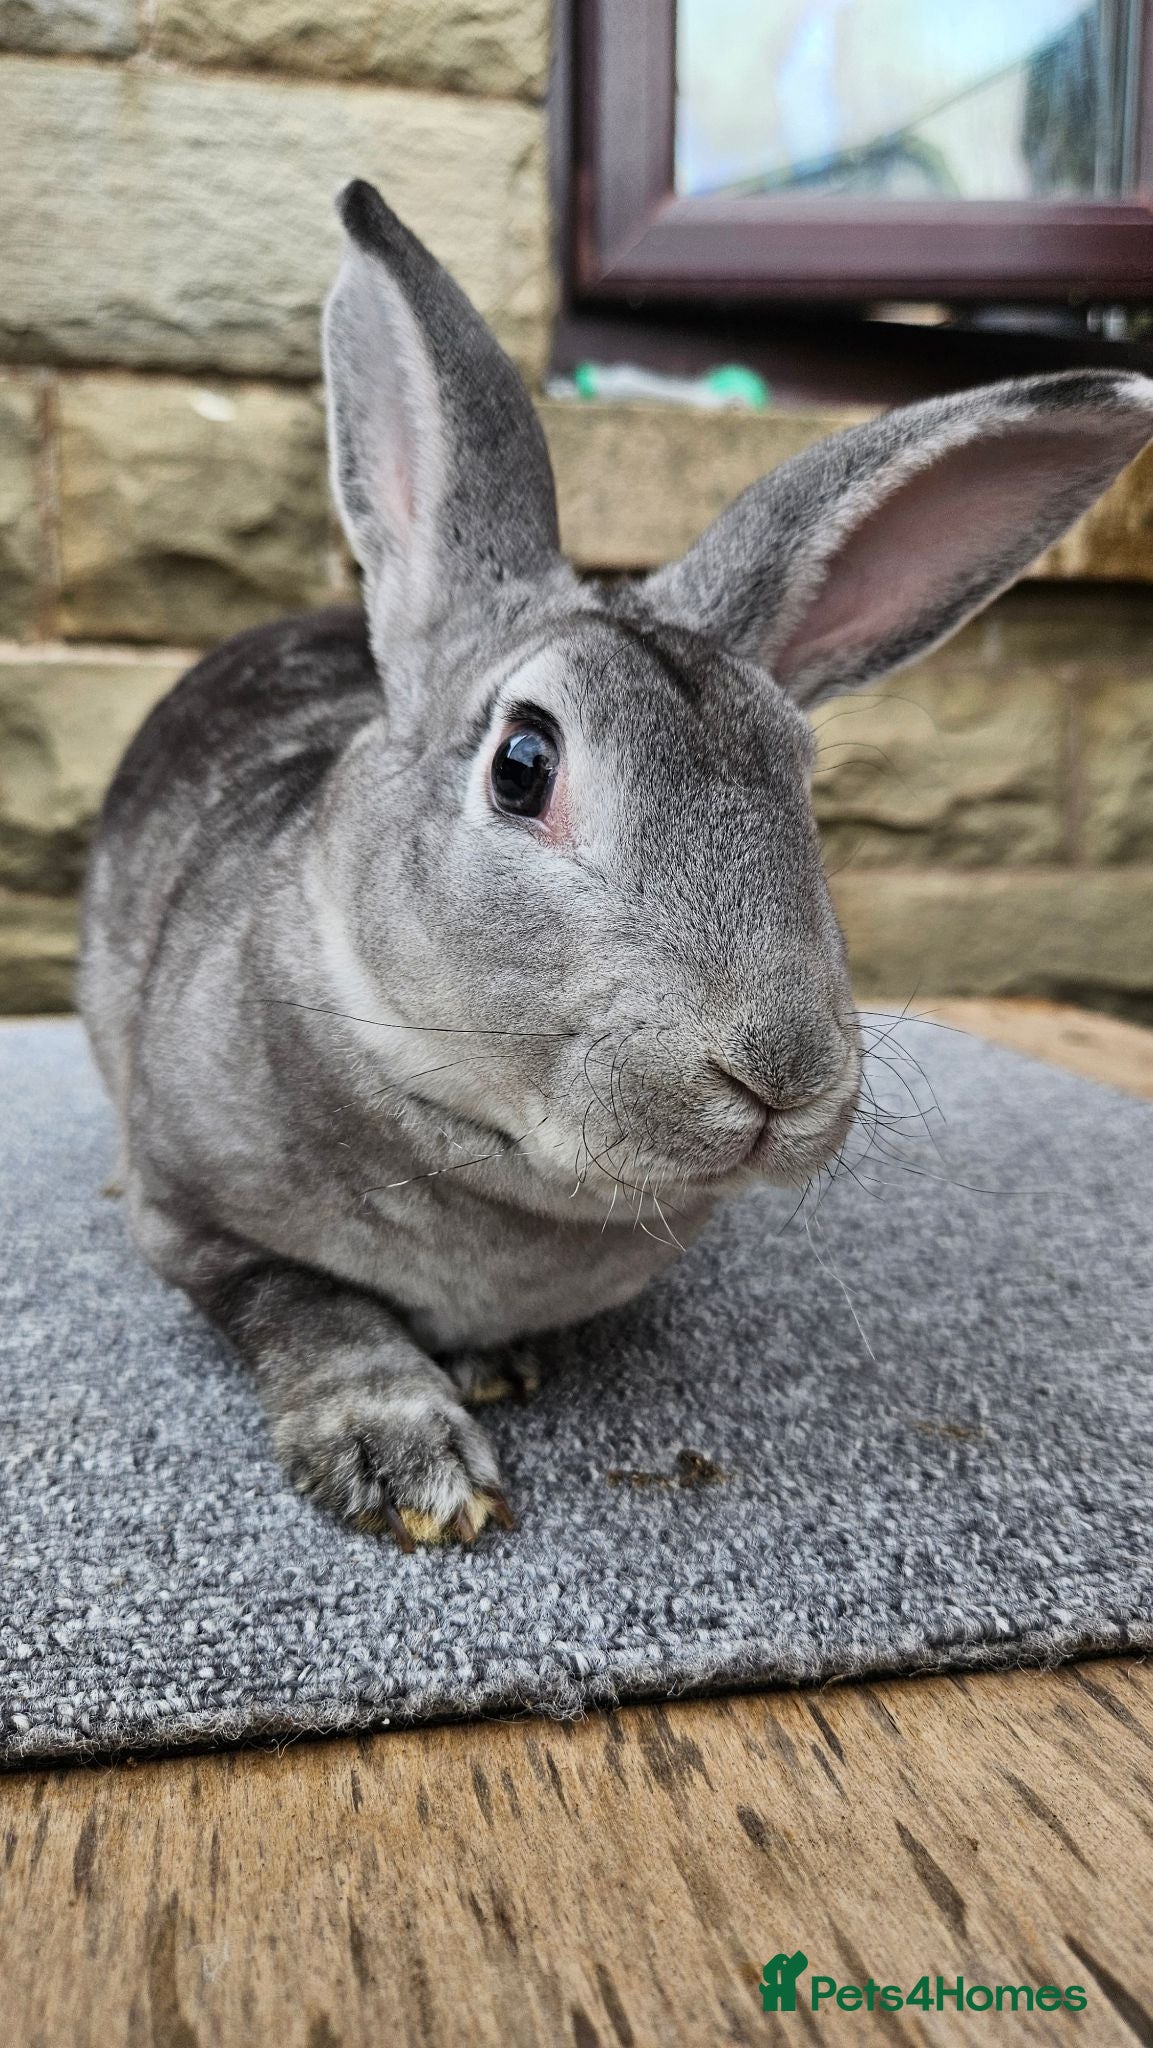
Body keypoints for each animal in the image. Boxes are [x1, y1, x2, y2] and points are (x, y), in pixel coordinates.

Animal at [80, 178, 1153, 1549]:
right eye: (523, 763)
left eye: (800, 782)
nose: (782, 1071)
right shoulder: (196, 1218)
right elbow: (303, 1304)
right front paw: (407, 1457)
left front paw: (484, 1364)